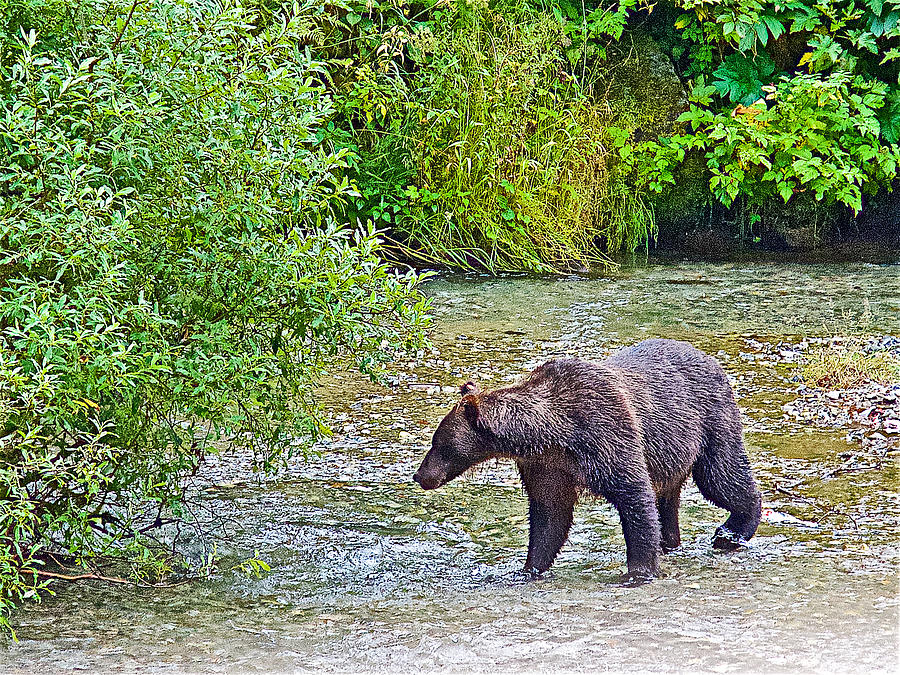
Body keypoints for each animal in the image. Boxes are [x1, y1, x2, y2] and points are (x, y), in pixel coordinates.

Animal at [414, 340, 760, 584]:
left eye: (438, 443)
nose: (420, 475)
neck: (553, 434)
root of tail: (711, 358)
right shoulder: (548, 467)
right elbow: (550, 516)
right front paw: (527, 569)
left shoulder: (606, 435)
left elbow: (634, 497)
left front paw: (639, 571)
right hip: (671, 450)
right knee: (669, 498)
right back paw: (672, 541)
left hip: (709, 420)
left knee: (722, 476)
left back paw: (731, 532)